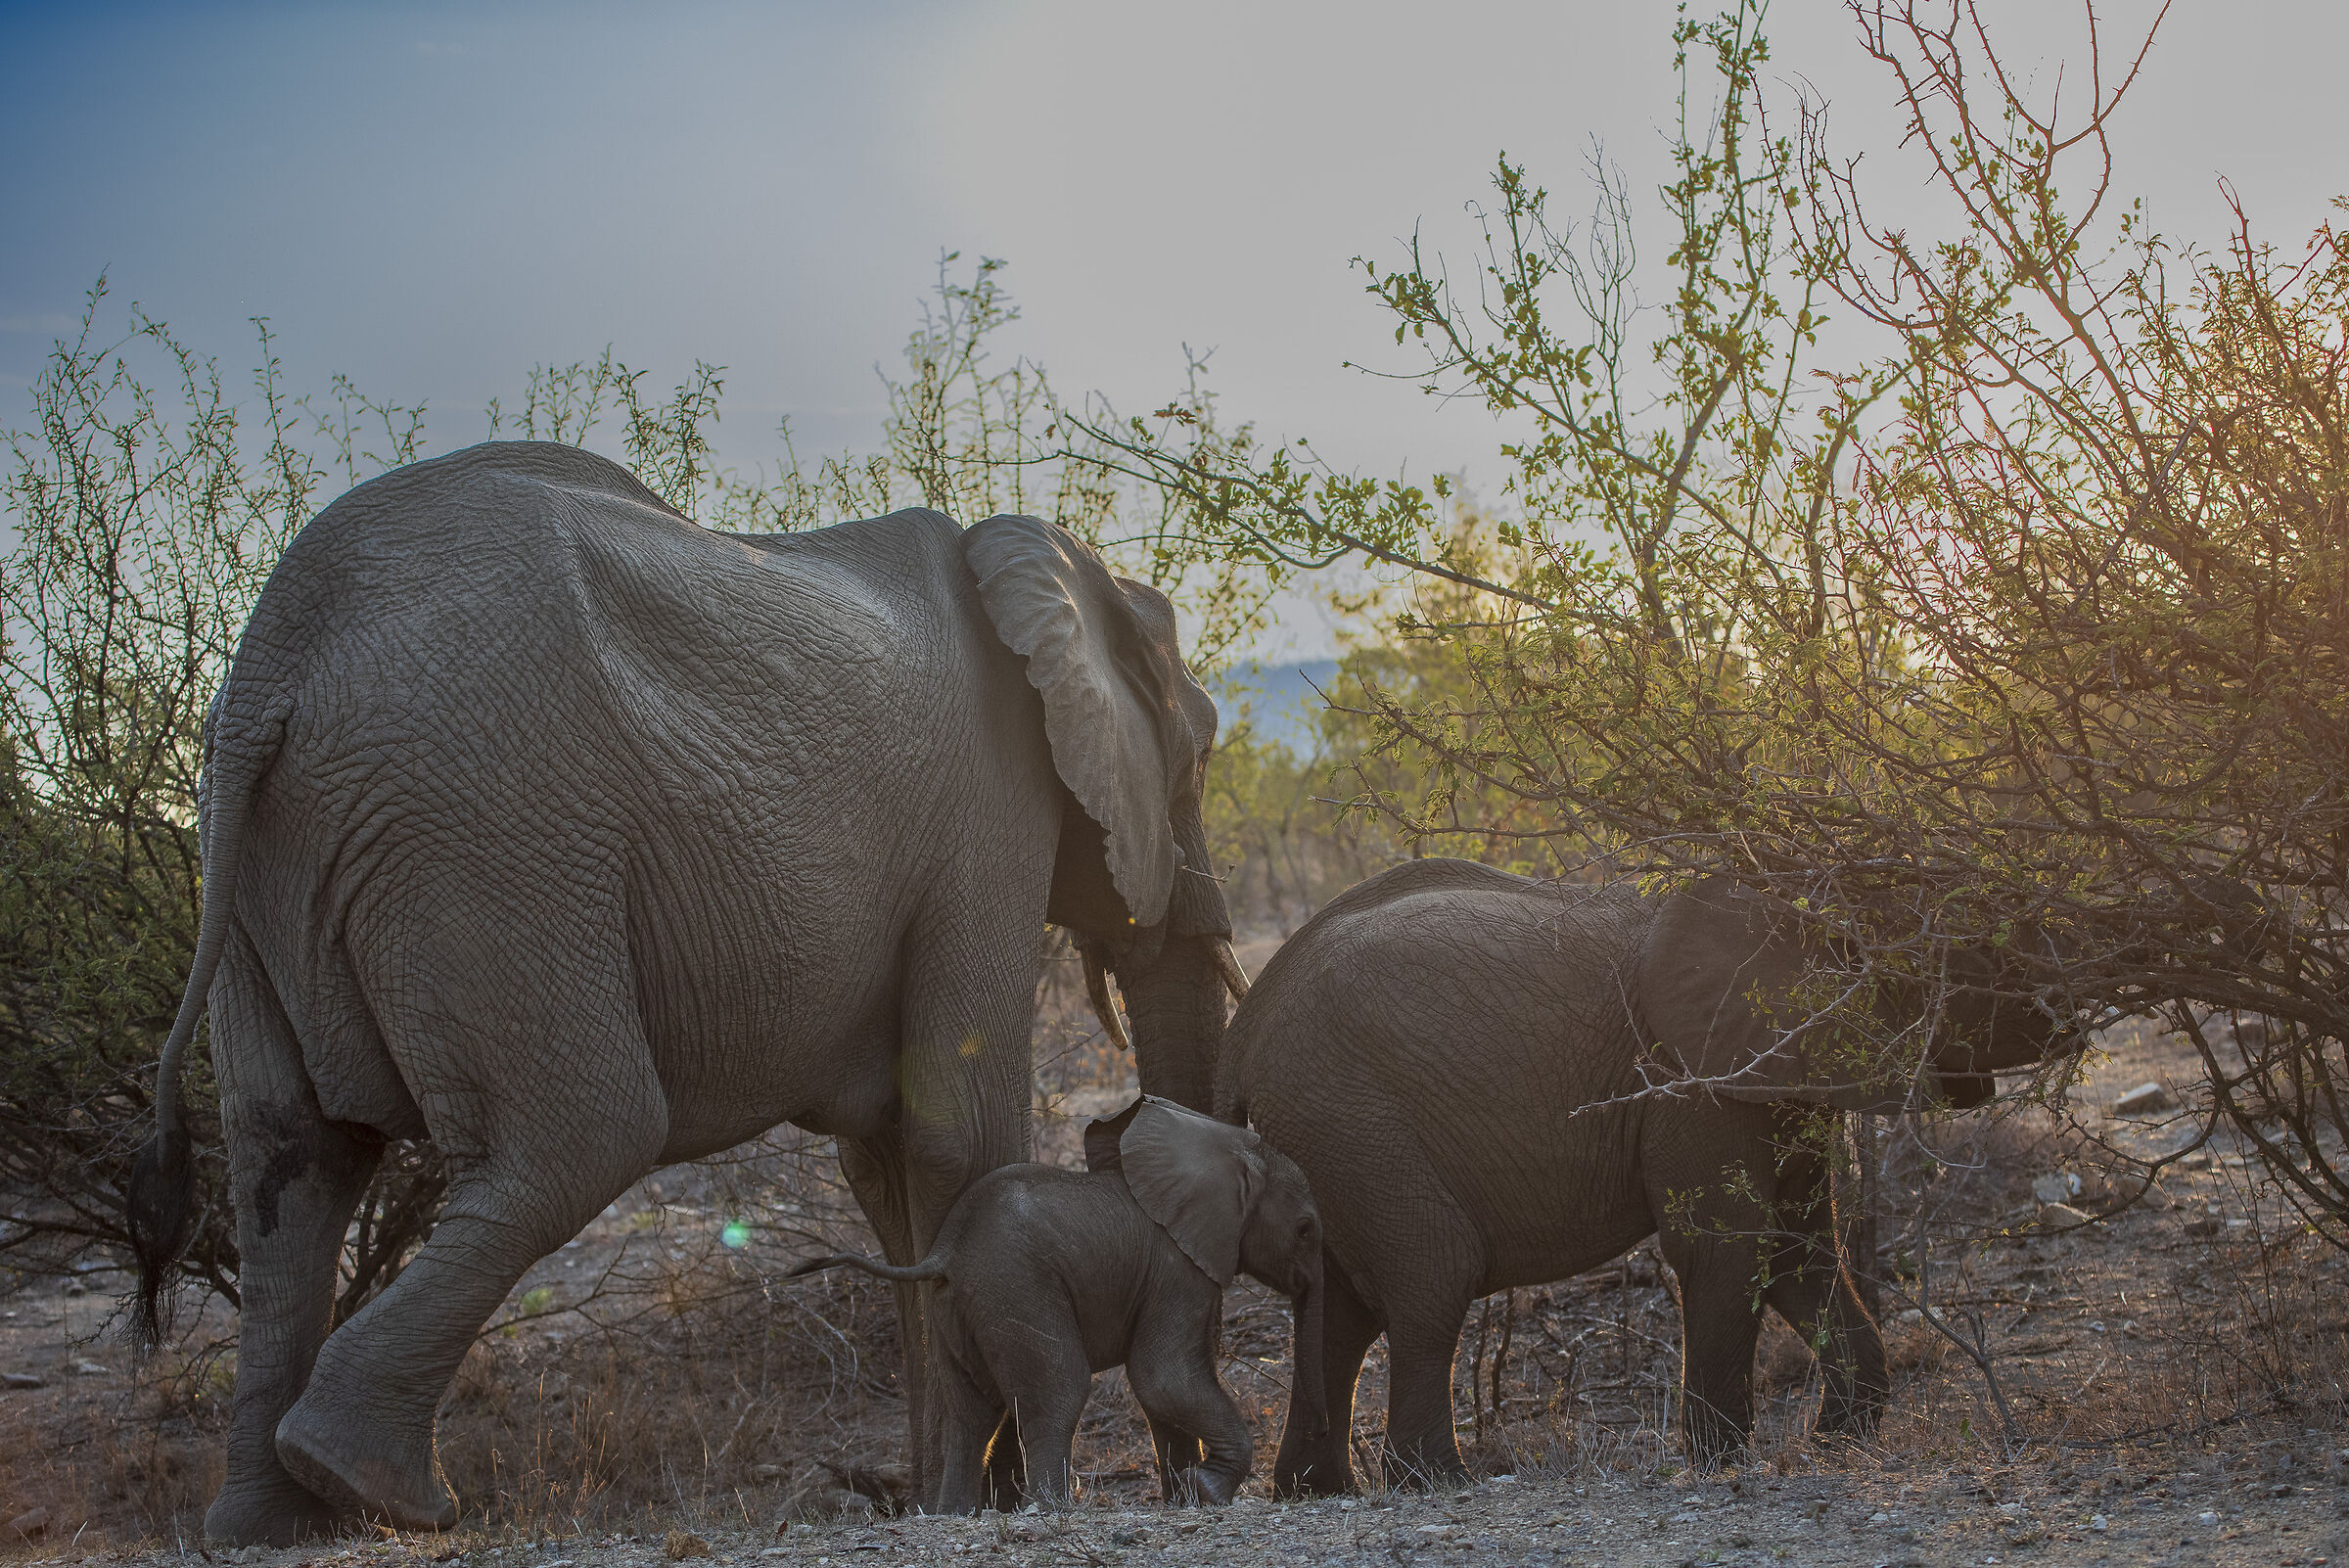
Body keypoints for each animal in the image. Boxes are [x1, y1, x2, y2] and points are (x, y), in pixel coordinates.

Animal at [121, 442, 1249, 1543]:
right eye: (1199, 756)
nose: (1181, 1482)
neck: (1044, 566)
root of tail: (273, 661)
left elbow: (888, 1168)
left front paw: (944, 1496)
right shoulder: (990, 814)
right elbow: (955, 1139)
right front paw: (994, 1499)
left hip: (273, 858)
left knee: (293, 1163)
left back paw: (269, 1526)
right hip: (487, 838)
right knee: (582, 1138)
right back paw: (380, 1491)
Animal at [788, 1095, 1325, 1511]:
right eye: (1304, 1229)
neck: (1224, 1145)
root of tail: (945, 1250)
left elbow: (1162, 1391)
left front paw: (1187, 1496)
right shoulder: (1178, 1270)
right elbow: (1165, 1378)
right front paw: (1209, 1491)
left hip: (951, 1307)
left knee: (971, 1412)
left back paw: (952, 1515)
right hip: (1015, 1285)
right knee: (1058, 1390)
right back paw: (1051, 1510)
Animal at [1214, 858, 2076, 1492]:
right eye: (1980, 951)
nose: (2064, 1012)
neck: (1794, 898)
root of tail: (1244, 1031)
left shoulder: (1772, 1079)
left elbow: (1797, 1251)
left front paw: (1839, 1442)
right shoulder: (1692, 1084)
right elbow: (1726, 1247)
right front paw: (1722, 1464)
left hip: (1329, 1137)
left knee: (1340, 1311)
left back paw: (1317, 1491)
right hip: (1352, 1119)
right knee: (1432, 1278)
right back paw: (1440, 1484)